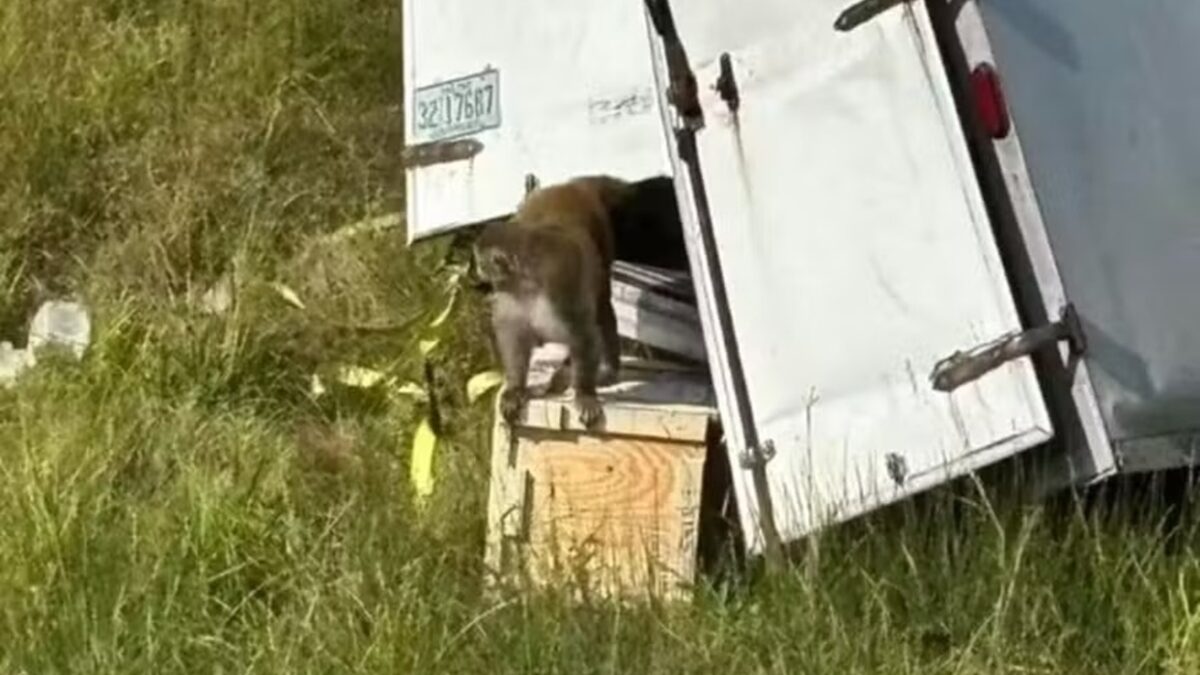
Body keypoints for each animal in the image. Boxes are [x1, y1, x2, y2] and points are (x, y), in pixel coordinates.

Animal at [473, 175, 629, 429]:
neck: (527, 284)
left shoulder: (560, 289)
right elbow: (513, 336)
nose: (476, 270)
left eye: (480, 261)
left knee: (602, 306)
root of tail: (570, 186)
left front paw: (584, 394)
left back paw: (606, 369)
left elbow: (583, 335)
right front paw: (515, 388)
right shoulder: (509, 296)